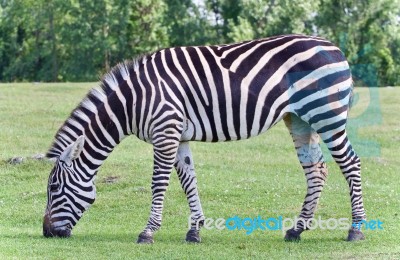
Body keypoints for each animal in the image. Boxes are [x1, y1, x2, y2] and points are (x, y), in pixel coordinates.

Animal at [43, 33, 366, 243]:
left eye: (54, 188)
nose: (46, 233)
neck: (132, 101)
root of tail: (334, 47)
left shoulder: (165, 130)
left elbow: (159, 183)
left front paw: (148, 232)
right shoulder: (179, 135)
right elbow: (189, 180)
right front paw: (195, 230)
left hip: (326, 114)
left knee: (351, 164)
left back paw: (356, 229)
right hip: (299, 119)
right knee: (316, 170)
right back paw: (297, 229)